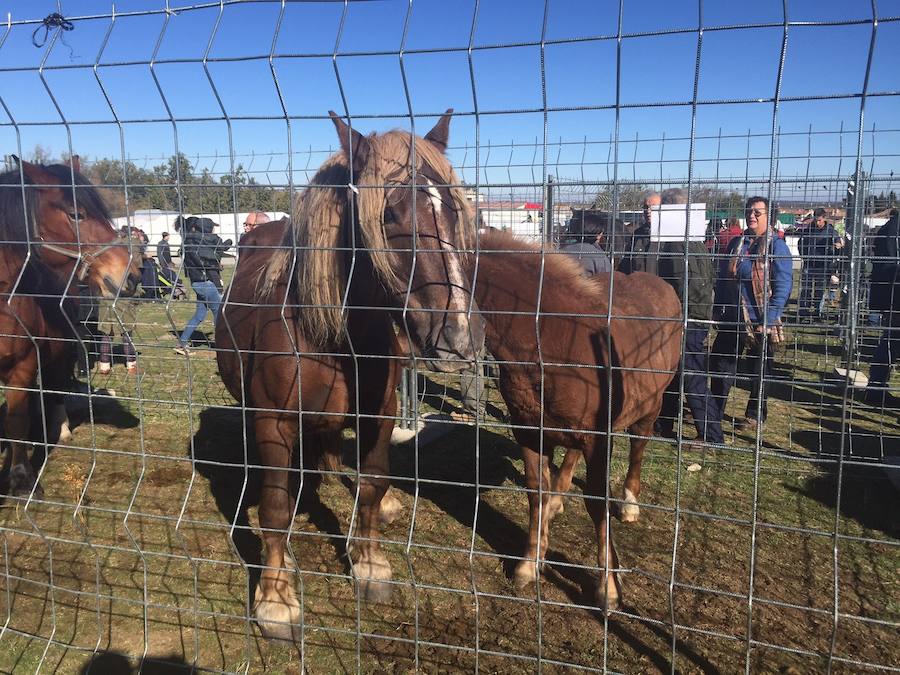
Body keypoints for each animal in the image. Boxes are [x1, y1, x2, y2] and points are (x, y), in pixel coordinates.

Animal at [0, 158, 141, 498]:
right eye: (77, 214)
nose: (131, 275)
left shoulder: (22, 367)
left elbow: (16, 421)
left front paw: (21, 480)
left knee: (56, 386)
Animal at [215, 110, 484, 641]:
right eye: (389, 216)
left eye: (457, 211)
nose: (458, 337)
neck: (333, 335)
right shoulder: (274, 423)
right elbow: (275, 509)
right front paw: (276, 599)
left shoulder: (378, 414)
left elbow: (373, 484)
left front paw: (370, 564)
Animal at [466, 229, 682, 609]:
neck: (550, 340)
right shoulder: (529, 431)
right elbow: (535, 491)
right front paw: (529, 563)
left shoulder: (597, 436)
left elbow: (597, 502)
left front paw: (608, 587)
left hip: (651, 406)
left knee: (638, 446)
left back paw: (629, 503)